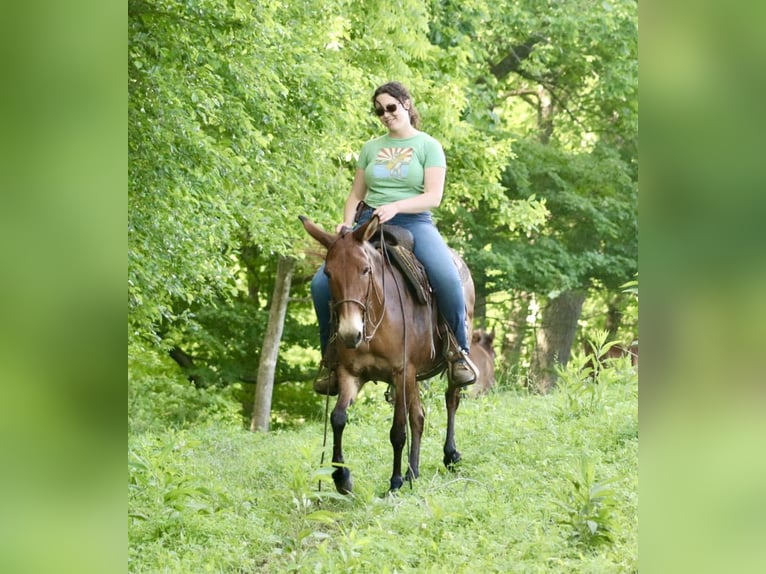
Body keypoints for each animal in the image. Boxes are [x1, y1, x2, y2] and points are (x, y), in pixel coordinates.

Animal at [300, 216, 474, 496]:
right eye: (328, 273)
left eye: (365, 270)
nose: (350, 334)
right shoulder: (350, 373)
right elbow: (338, 419)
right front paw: (341, 477)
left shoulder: (401, 372)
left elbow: (397, 431)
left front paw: (394, 482)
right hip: (413, 378)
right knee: (419, 417)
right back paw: (413, 471)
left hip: (443, 364)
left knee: (451, 399)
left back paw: (450, 455)